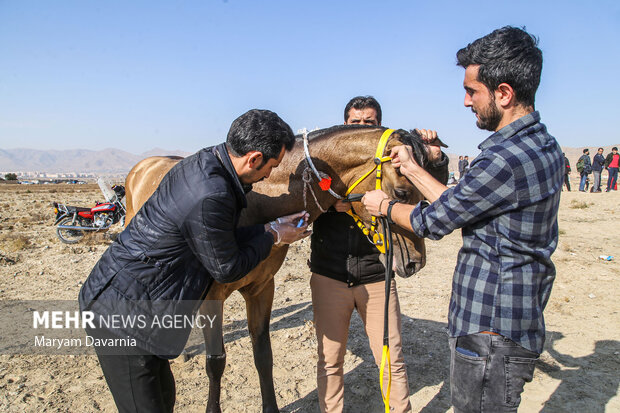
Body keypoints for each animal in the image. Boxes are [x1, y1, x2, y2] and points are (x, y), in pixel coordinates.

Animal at [124, 125, 440, 412]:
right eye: (402, 191)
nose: (415, 262)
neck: (256, 203)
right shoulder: (212, 298)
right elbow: (216, 362)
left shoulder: (262, 289)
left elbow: (263, 354)